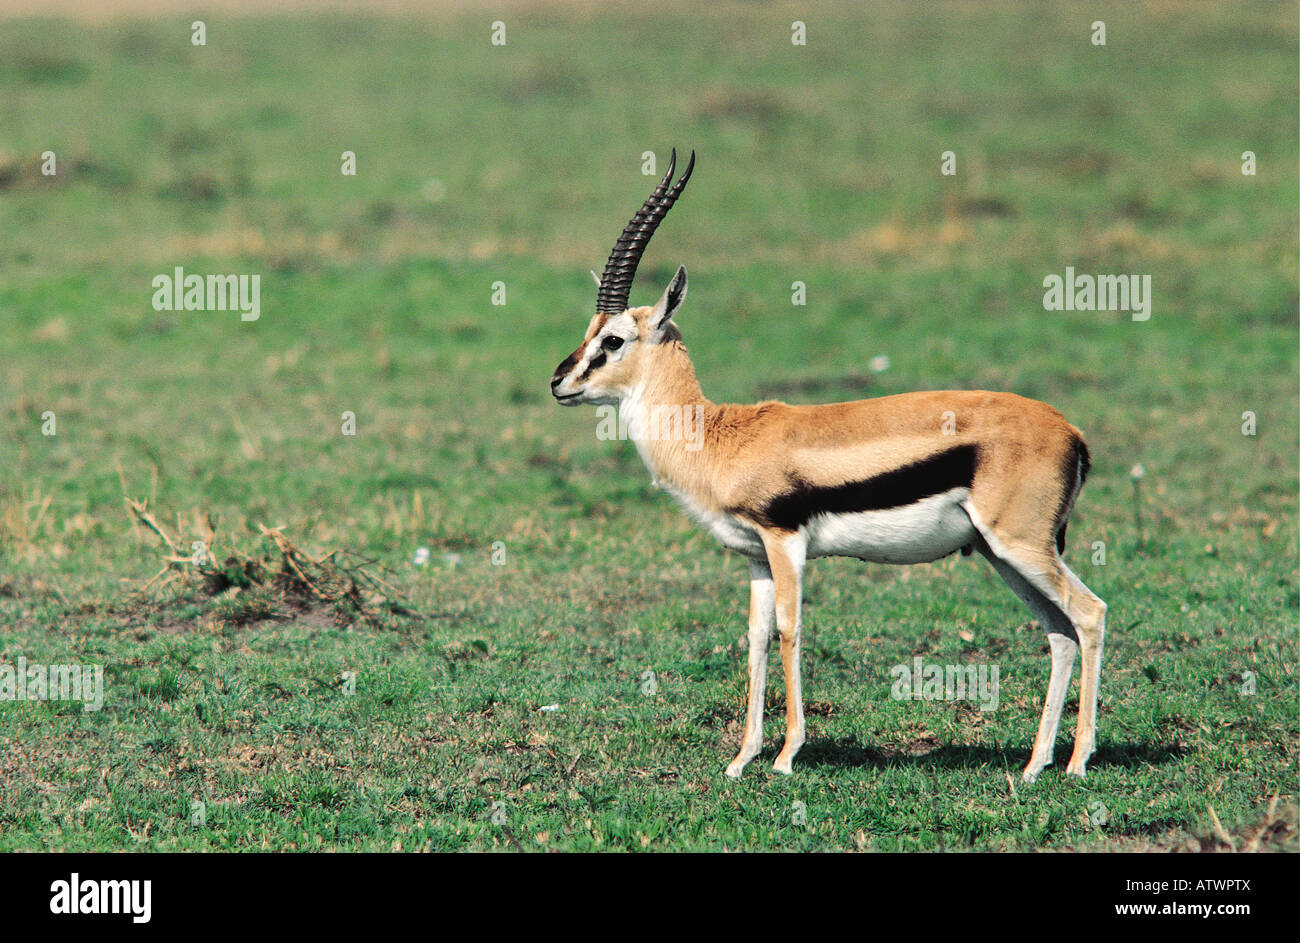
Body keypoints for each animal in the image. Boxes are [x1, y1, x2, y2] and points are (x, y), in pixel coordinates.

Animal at [550, 150, 1107, 782]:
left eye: (614, 340)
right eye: (589, 333)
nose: (559, 383)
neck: (718, 436)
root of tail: (1072, 433)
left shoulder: (786, 541)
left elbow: (791, 631)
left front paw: (786, 756)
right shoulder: (756, 557)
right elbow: (756, 638)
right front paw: (742, 758)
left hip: (1021, 545)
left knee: (1089, 614)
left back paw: (1077, 762)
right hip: (1000, 553)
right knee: (1059, 632)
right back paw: (1036, 765)